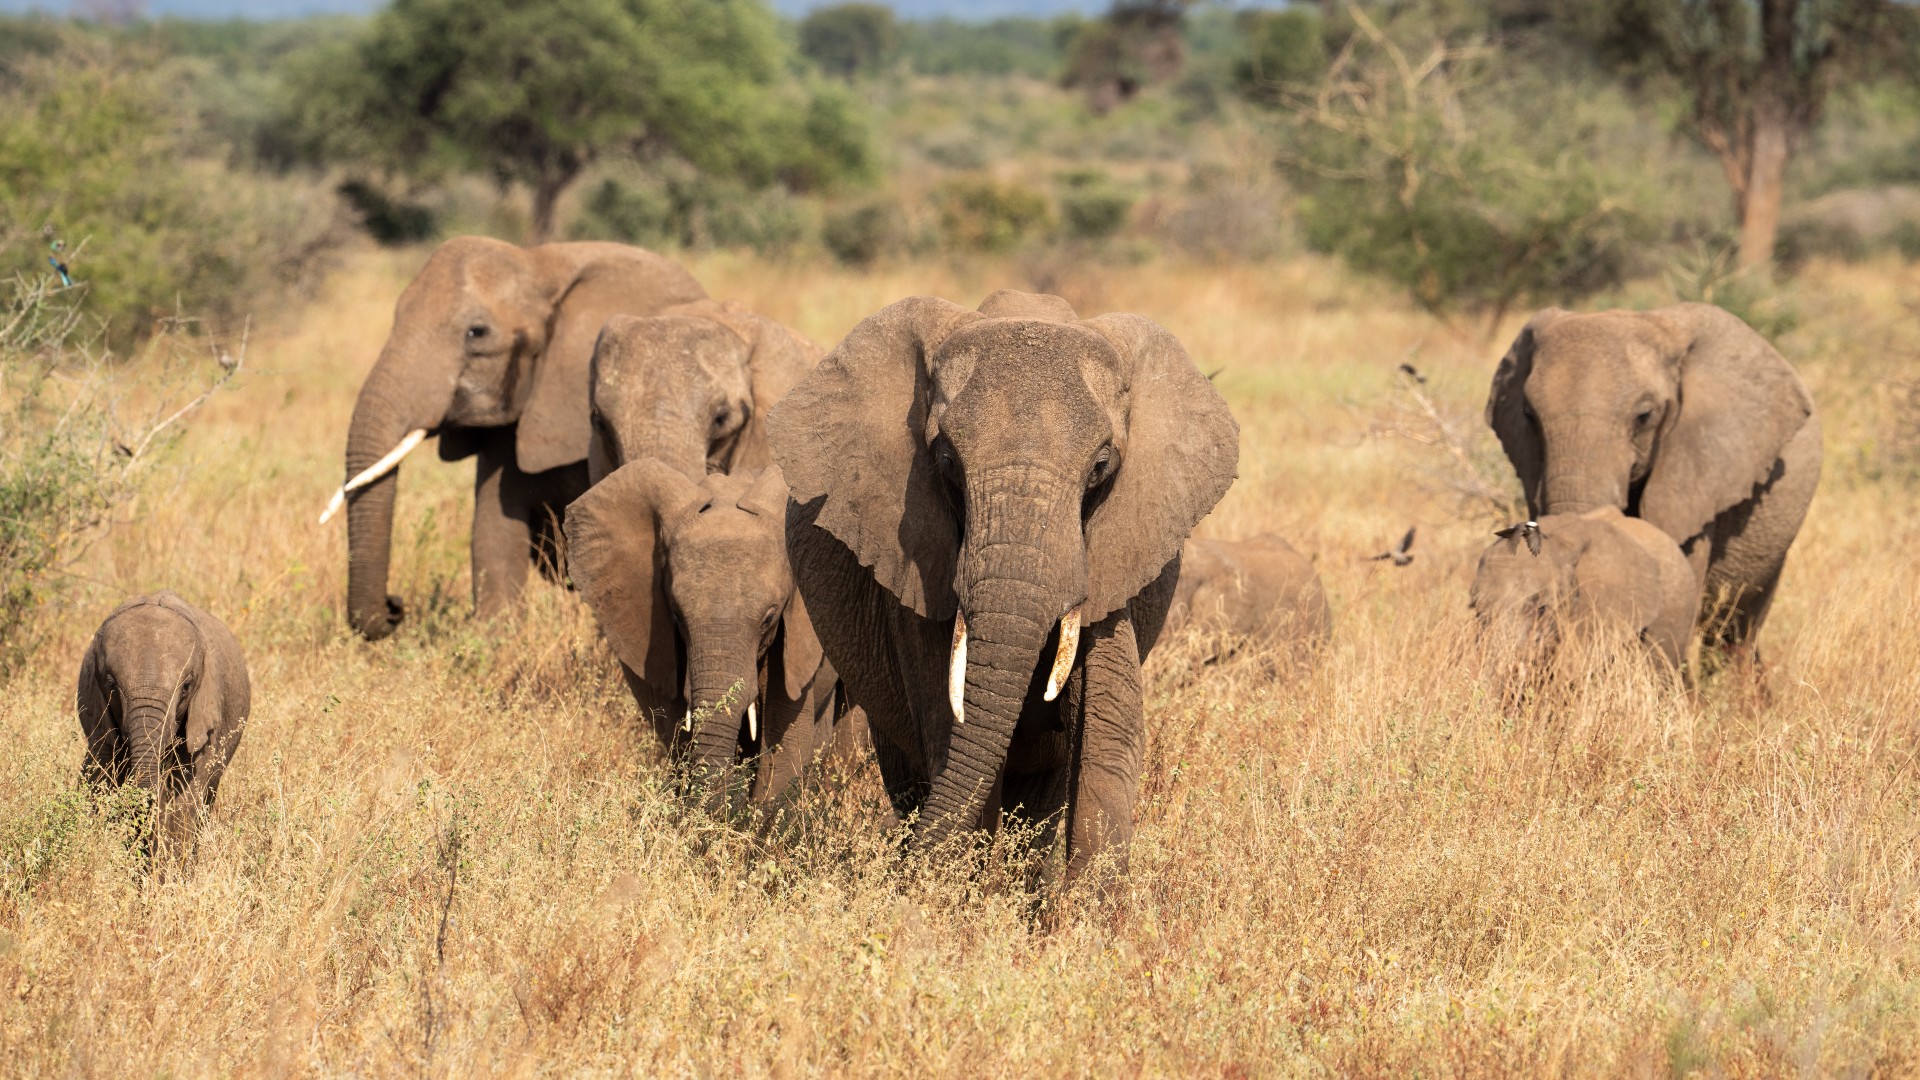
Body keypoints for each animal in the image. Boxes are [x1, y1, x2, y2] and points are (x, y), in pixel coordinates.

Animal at [768, 290, 1244, 880]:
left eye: (1101, 466)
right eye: (945, 460)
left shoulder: (1115, 559)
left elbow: (1107, 732)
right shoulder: (917, 564)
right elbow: (947, 727)